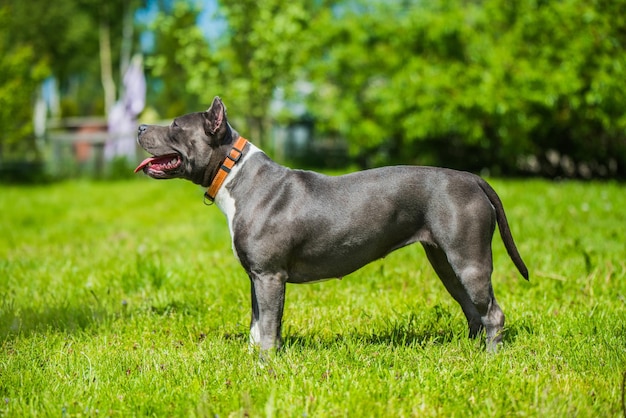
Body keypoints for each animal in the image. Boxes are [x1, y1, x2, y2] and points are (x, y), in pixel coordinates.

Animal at [136, 97, 528, 352]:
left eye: (175, 126)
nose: (140, 126)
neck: (234, 171)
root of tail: (471, 177)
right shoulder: (256, 277)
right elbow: (257, 323)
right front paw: (253, 360)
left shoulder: (269, 275)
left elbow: (268, 325)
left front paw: (266, 365)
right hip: (446, 263)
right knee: (473, 310)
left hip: (469, 260)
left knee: (493, 313)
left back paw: (491, 359)